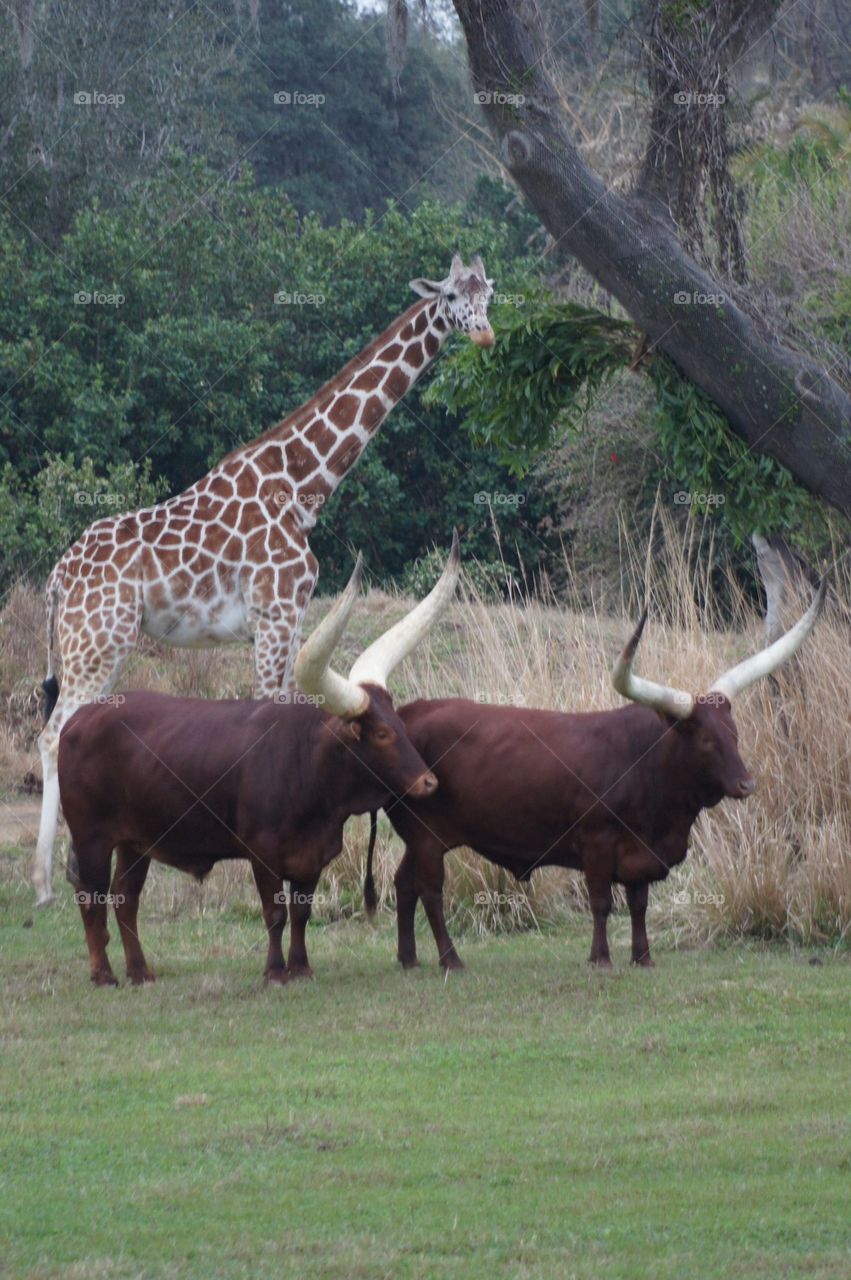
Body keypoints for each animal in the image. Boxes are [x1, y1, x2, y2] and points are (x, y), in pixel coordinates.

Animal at [32, 253, 495, 904]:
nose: (484, 333)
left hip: (94, 646)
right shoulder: (274, 612)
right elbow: (270, 713)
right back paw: (47, 882)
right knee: (51, 735)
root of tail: (56, 577)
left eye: (491, 292)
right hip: (96, 642)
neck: (303, 484)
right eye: (452, 294)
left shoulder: (294, 615)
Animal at [58, 536, 459, 986]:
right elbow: (275, 913)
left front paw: (301, 967)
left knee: (126, 899)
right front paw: (275, 972)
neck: (308, 768)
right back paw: (103, 975)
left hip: (135, 842)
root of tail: (79, 718)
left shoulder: (311, 858)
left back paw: (141, 972)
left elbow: (301, 913)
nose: (429, 783)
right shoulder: (262, 852)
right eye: (381, 734)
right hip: (91, 836)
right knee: (90, 898)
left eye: (401, 725)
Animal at [365, 581, 826, 971]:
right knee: (430, 891)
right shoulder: (598, 842)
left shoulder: (642, 852)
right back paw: (450, 960)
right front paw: (601, 958)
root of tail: (407, 713)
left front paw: (643, 957)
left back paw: (408, 959)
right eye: (706, 740)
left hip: (417, 839)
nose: (746, 784)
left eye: (735, 733)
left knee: (403, 884)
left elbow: (639, 904)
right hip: (427, 836)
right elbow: (602, 901)